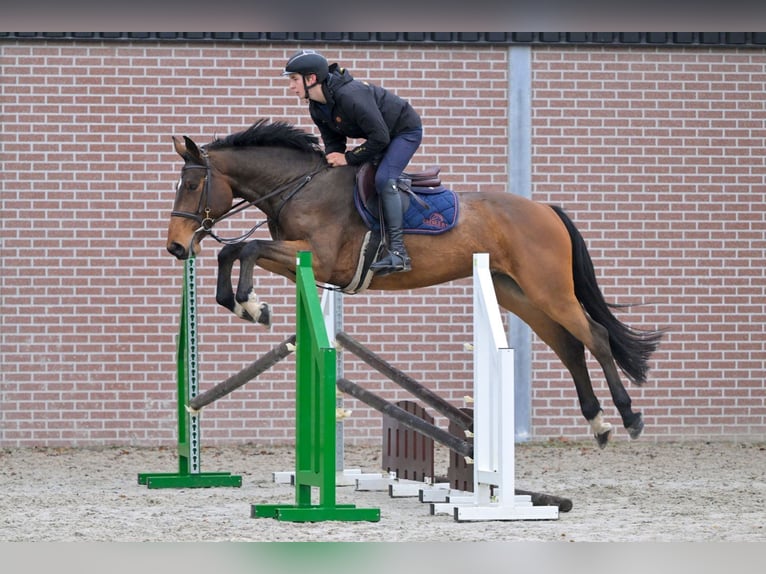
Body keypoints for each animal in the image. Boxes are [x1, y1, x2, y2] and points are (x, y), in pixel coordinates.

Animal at [165, 118, 664, 450]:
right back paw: (598, 423)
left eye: (190, 185)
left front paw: (251, 304)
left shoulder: (321, 261)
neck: (300, 186)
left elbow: (244, 249)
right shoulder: (302, 264)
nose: (175, 247)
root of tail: (544, 208)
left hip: (549, 290)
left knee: (595, 337)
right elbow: (234, 252)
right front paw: (247, 305)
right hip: (519, 293)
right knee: (570, 347)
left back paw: (629, 417)